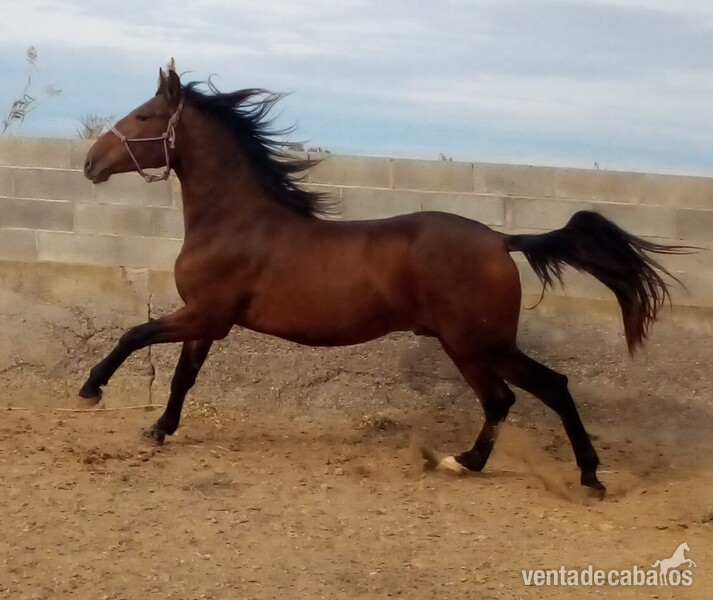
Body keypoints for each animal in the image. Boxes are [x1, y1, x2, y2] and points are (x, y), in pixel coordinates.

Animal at [81, 66, 687, 498]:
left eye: (143, 116)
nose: (90, 163)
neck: (237, 223)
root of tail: (500, 239)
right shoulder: (207, 322)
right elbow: (182, 377)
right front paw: (159, 428)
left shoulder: (205, 313)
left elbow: (134, 334)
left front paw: (92, 390)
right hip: (470, 345)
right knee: (508, 398)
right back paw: (475, 463)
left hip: (476, 342)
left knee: (536, 390)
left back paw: (573, 475)